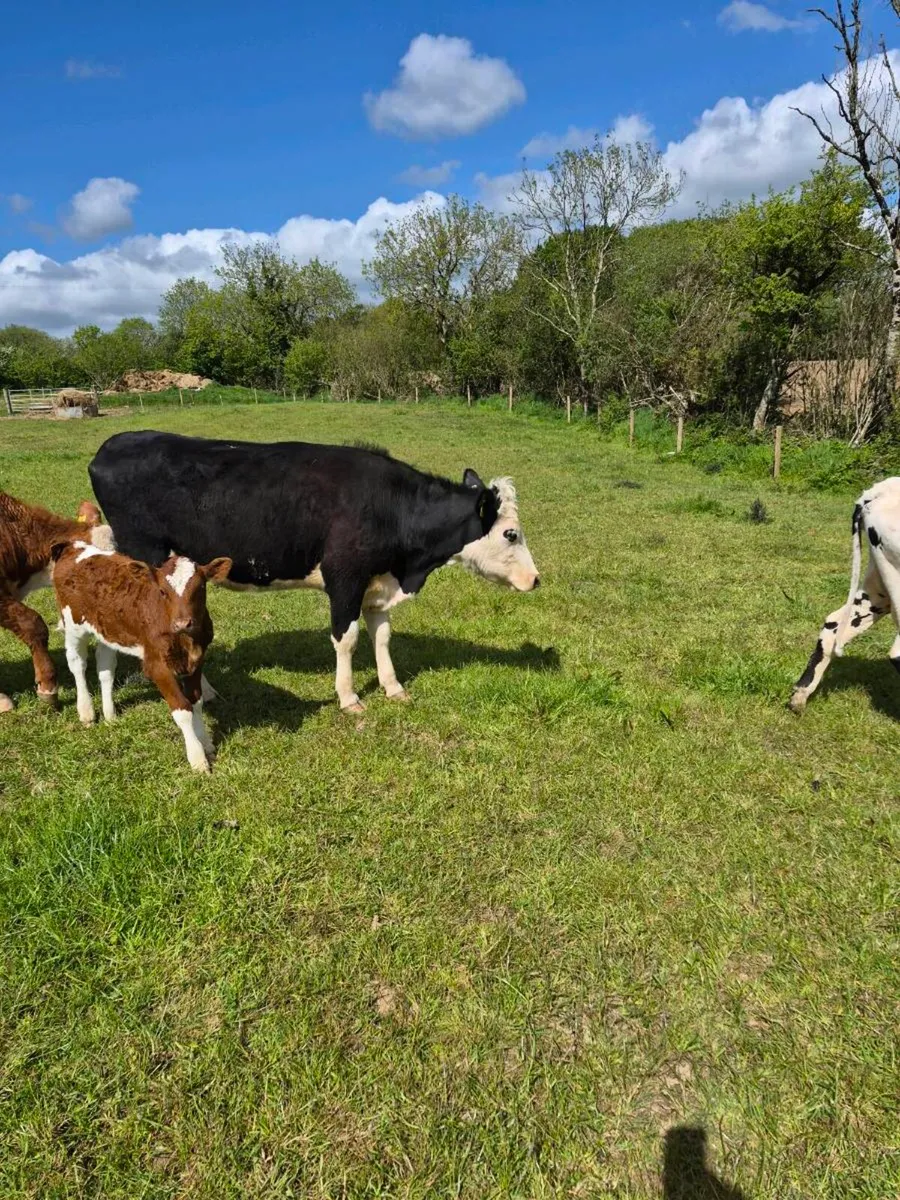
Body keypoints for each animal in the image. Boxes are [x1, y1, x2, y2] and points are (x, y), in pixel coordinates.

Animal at [51, 538, 232, 771]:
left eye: (200, 587)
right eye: (162, 591)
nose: (183, 623)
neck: (184, 640)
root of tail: (73, 546)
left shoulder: (196, 660)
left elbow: (196, 702)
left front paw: (207, 744)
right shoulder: (157, 666)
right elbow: (182, 710)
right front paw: (197, 758)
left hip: (108, 631)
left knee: (105, 667)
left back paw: (110, 714)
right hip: (73, 625)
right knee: (77, 664)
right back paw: (86, 712)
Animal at [88, 431, 540, 713]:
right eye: (511, 534)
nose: (536, 579)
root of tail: (112, 444)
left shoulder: (377, 585)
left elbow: (382, 636)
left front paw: (393, 688)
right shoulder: (345, 580)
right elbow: (347, 639)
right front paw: (349, 698)